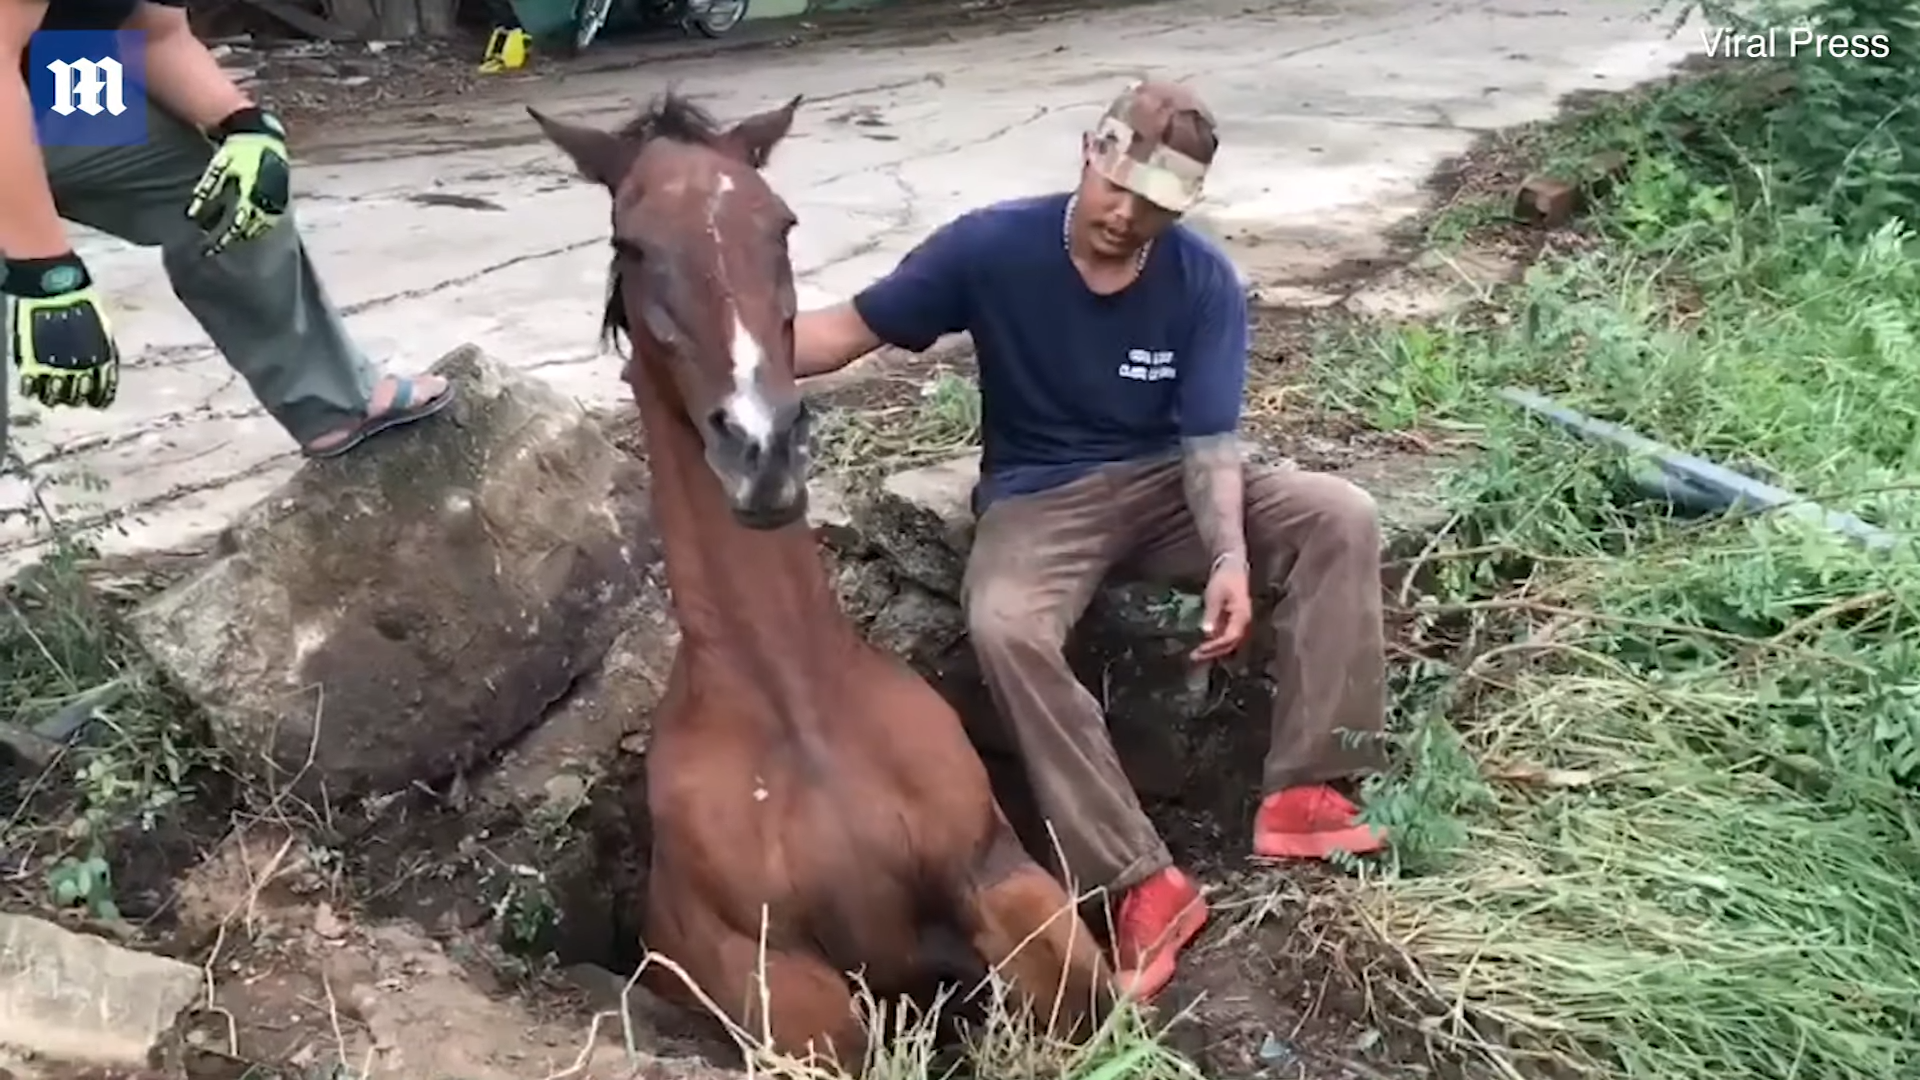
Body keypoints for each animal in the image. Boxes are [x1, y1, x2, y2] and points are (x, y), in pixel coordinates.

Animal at [529, 90, 1121, 1060]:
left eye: (781, 223)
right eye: (631, 244)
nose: (762, 450)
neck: (797, 713)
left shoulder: (998, 872)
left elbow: (1082, 998)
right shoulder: (775, 979)